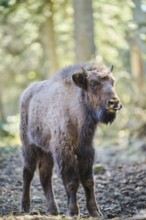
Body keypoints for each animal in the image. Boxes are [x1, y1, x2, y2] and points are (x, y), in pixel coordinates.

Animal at [19, 62, 122, 217]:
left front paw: (95, 212)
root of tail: (26, 93)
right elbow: (72, 182)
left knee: (45, 176)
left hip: (46, 151)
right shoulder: (64, 151)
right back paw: (25, 207)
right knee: (28, 173)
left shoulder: (86, 150)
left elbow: (88, 180)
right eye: (93, 83)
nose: (113, 102)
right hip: (29, 147)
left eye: (113, 82)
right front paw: (73, 211)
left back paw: (53, 210)